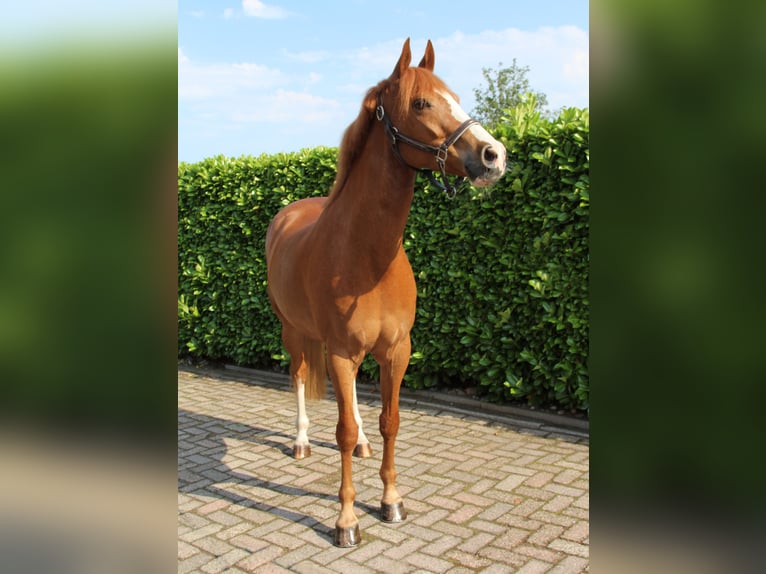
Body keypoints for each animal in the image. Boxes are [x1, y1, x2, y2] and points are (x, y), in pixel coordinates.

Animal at [265, 38, 506, 547]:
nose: (494, 154)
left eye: (454, 96)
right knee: (299, 376)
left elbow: (388, 422)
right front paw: (346, 521)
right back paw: (300, 441)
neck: (366, 255)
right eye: (420, 103)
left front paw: (392, 500)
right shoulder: (339, 351)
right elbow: (339, 428)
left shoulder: (397, 350)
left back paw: (361, 445)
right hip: (293, 331)